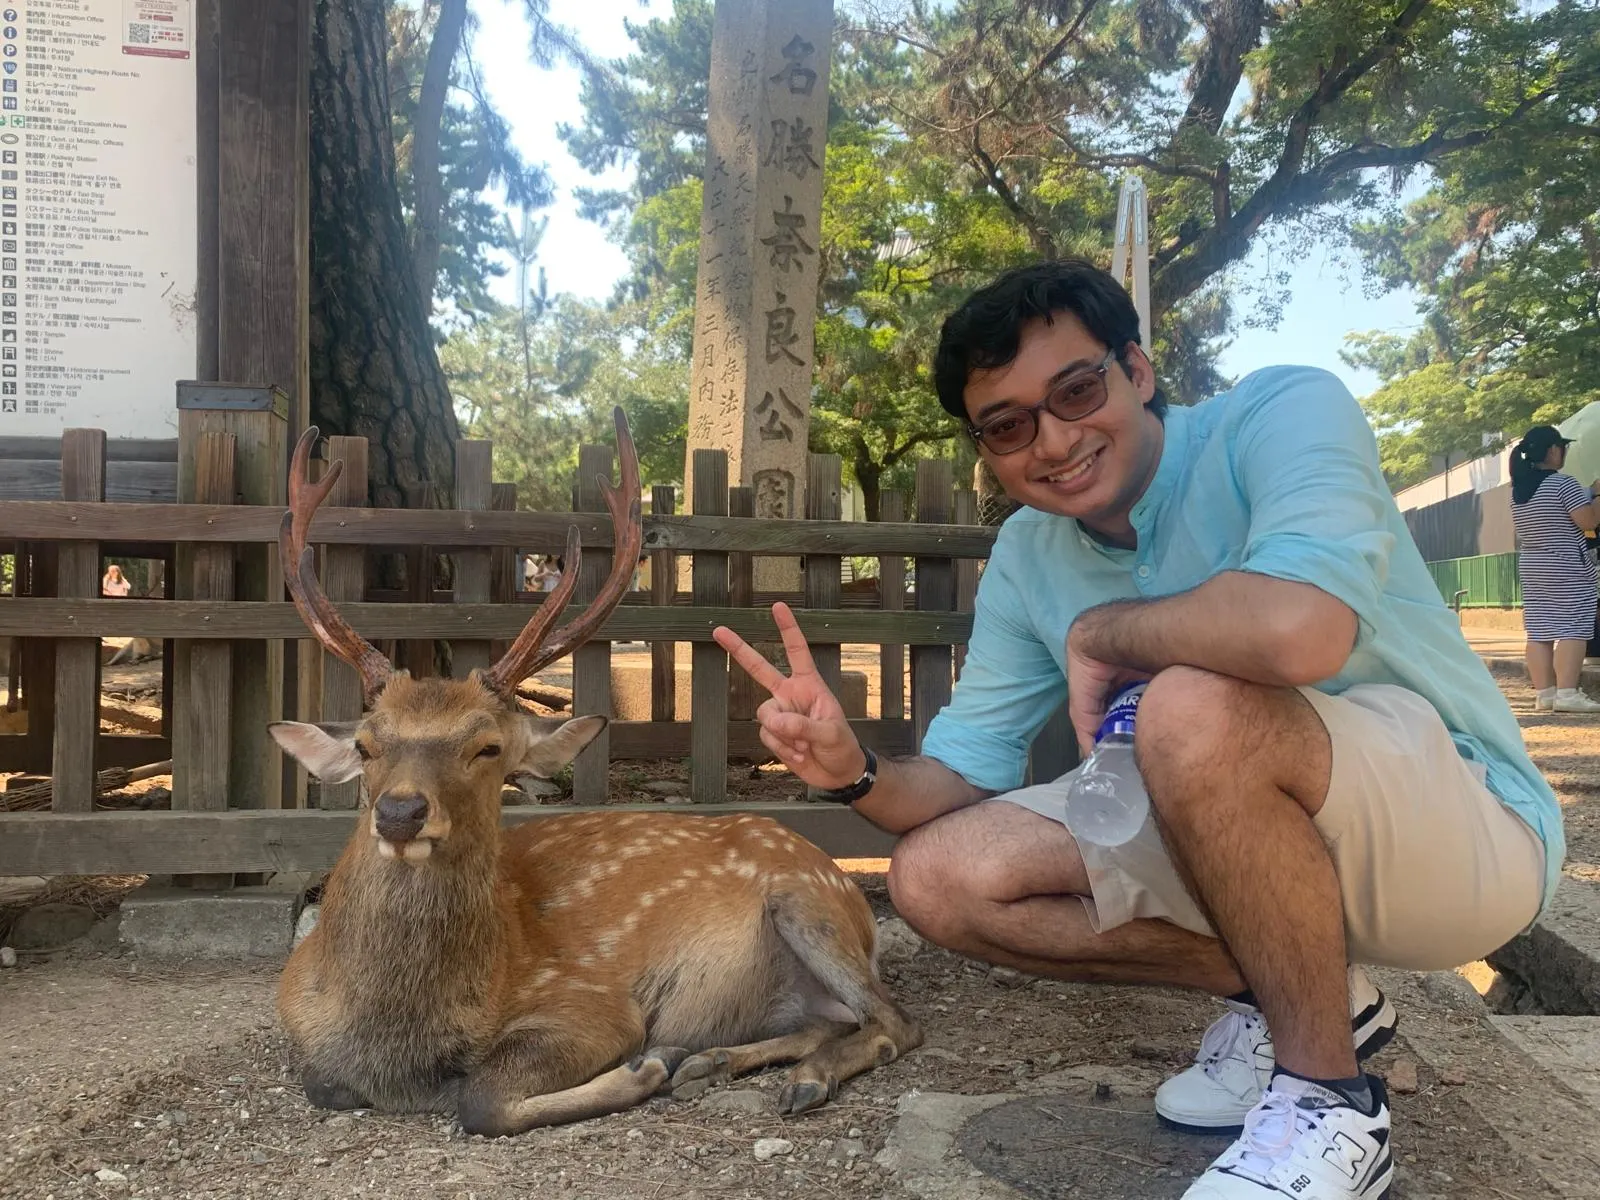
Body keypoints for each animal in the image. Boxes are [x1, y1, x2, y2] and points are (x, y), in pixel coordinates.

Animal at [266, 409, 922, 1136]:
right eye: (365, 745)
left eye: (488, 748)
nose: (402, 812)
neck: (392, 1042)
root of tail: (843, 883)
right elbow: (324, 1084)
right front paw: (668, 1064)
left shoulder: (591, 1000)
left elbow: (481, 1098)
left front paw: (645, 1067)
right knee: (832, 1020)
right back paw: (713, 1061)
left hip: (810, 901)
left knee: (895, 1021)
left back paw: (789, 1077)